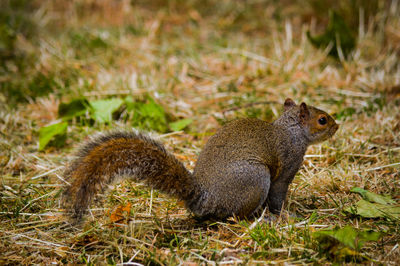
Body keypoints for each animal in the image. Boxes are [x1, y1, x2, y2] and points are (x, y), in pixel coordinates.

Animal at [61, 98, 338, 221]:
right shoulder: (287, 167)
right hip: (256, 179)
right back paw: (259, 217)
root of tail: (206, 199)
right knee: (237, 215)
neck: (291, 130)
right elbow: (278, 196)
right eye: (322, 120)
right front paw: (285, 215)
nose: (337, 126)